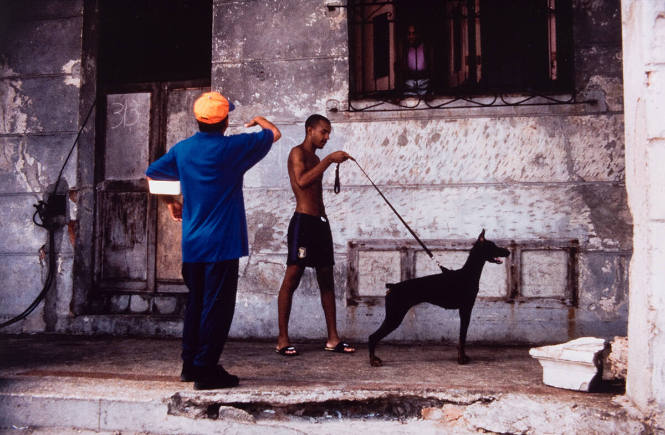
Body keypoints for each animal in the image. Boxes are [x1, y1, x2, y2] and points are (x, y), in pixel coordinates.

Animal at [368, 232, 508, 368]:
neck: (468, 274)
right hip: (394, 316)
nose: (508, 251)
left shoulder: (464, 310)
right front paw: (461, 359)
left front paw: (463, 356)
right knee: (372, 337)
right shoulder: (465, 309)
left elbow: (462, 336)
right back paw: (373, 361)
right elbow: (462, 337)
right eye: (493, 246)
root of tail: (392, 286)